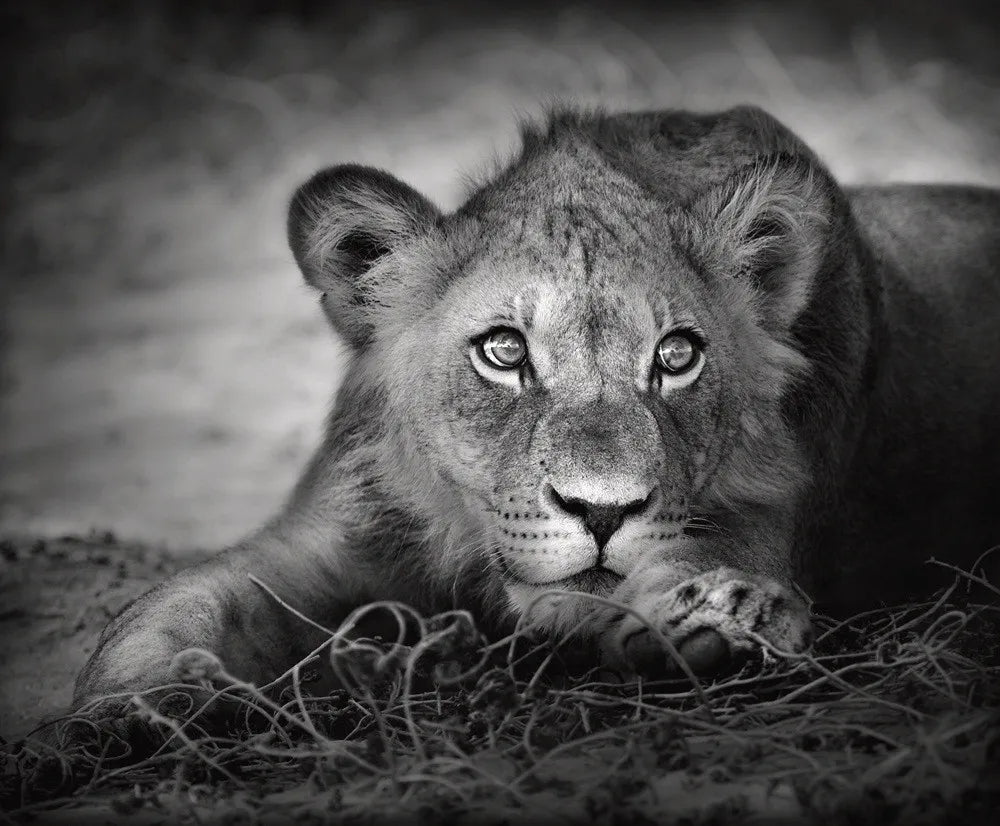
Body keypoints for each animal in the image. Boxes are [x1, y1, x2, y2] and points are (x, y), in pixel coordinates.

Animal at [73, 105, 1000, 712]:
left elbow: (705, 565)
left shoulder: (762, 515)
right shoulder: (329, 534)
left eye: (676, 356)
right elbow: (179, 603)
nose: (603, 511)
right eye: (503, 351)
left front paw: (721, 622)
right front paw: (136, 703)